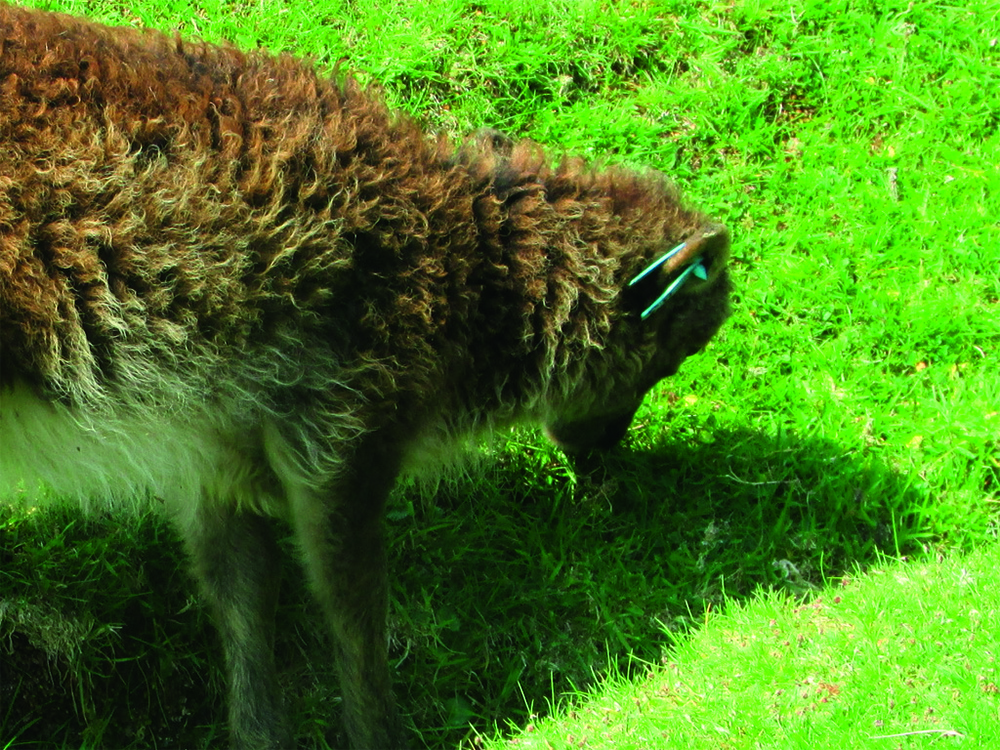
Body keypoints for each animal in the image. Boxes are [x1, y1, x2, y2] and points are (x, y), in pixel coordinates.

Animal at [0, 4, 733, 748]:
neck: (473, 274)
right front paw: (380, 730)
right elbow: (351, 606)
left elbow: (244, 591)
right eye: (673, 356)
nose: (603, 448)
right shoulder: (345, 429)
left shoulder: (216, 446)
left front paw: (261, 732)